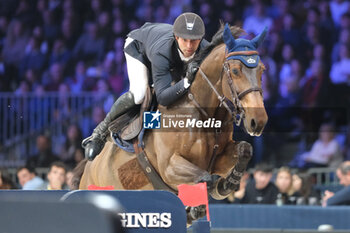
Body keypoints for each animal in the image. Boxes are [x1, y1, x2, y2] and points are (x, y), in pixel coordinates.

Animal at [75, 23, 268, 222]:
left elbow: (245, 148)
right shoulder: (170, 166)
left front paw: (225, 185)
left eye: (262, 69)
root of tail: (87, 169)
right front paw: (202, 201)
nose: (258, 121)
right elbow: (204, 178)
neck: (203, 113)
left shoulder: (220, 158)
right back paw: (94, 143)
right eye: (236, 71)